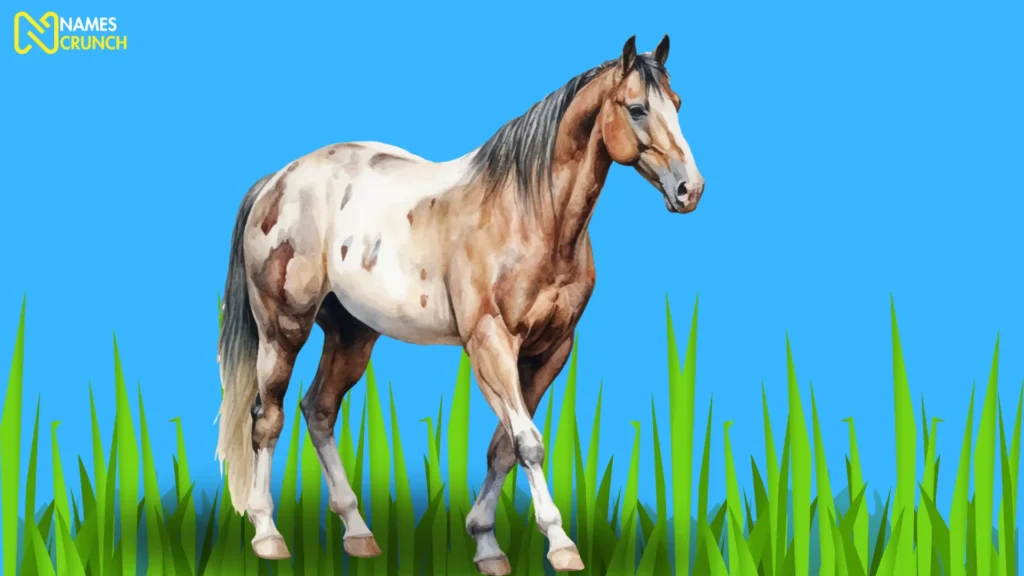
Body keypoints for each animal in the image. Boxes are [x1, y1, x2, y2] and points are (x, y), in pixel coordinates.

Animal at [215, 34, 704, 574]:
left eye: (677, 103)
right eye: (637, 108)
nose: (690, 189)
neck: (529, 213)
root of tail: (278, 181)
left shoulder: (550, 352)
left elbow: (504, 447)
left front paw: (486, 542)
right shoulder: (491, 343)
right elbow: (528, 443)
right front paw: (560, 544)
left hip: (352, 334)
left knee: (318, 410)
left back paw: (358, 532)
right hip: (282, 329)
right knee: (268, 417)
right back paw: (267, 534)